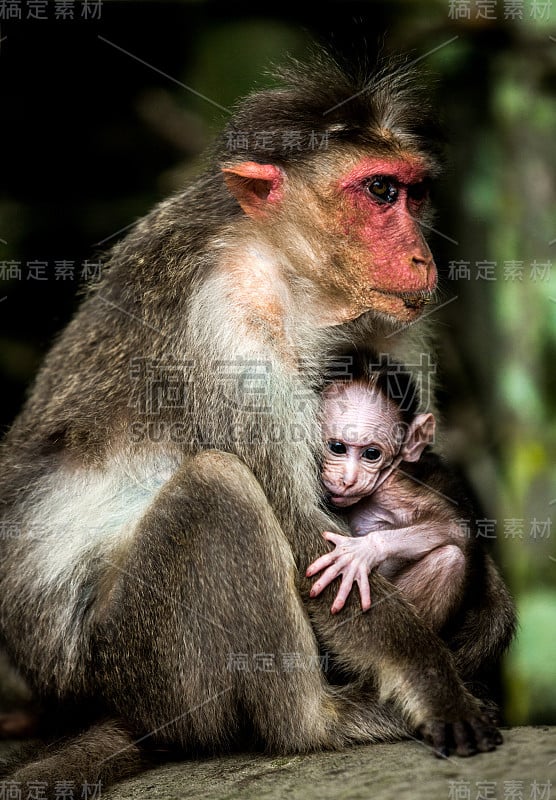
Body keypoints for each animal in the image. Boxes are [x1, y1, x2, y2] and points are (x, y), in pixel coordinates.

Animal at [0, 51, 512, 792]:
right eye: (378, 191)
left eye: (413, 194)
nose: (422, 256)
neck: (288, 271)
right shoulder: (227, 326)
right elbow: (304, 542)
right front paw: (435, 681)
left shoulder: (389, 326)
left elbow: (421, 473)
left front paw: (487, 613)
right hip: (145, 668)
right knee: (219, 487)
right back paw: (317, 723)